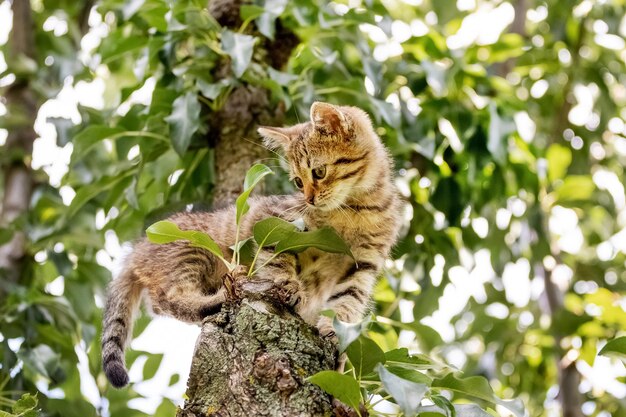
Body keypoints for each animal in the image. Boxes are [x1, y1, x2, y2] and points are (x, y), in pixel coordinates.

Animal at [100, 101, 402, 386]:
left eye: (318, 172)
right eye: (298, 181)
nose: (309, 199)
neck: (353, 211)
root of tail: (137, 248)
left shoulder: (362, 265)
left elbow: (347, 303)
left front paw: (336, 338)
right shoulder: (276, 225)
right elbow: (278, 262)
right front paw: (289, 287)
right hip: (192, 251)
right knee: (168, 299)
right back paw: (219, 299)